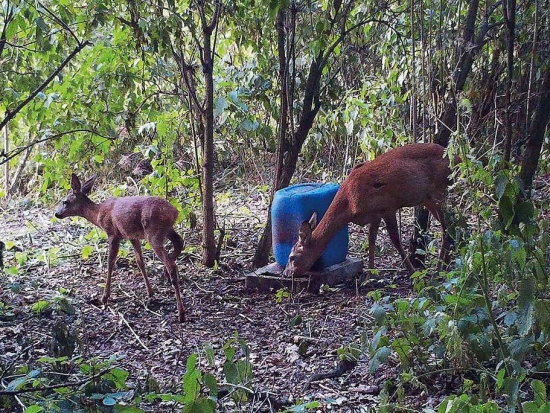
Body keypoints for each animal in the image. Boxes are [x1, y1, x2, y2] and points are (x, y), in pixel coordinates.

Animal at [56, 174, 187, 322]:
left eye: (65, 202)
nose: (57, 214)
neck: (98, 214)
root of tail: (175, 211)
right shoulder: (132, 235)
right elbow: (140, 262)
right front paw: (150, 292)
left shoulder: (113, 233)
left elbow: (110, 262)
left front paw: (105, 297)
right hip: (167, 230)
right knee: (179, 243)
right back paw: (166, 274)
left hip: (153, 232)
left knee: (171, 263)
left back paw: (181, 313)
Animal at [284, 142, 452, 276]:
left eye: (292, 257)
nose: (286, 273)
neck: (349, 204)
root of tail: (453, 157)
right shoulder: (374, 214)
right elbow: (371, 239)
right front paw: (370, 274)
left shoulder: (387, 206)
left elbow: (395, 240)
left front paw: (411, 272)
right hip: (428, 198)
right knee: (448, 226)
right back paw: (444, 266)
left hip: (439, 191)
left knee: (448, 227)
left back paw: (440, 268)